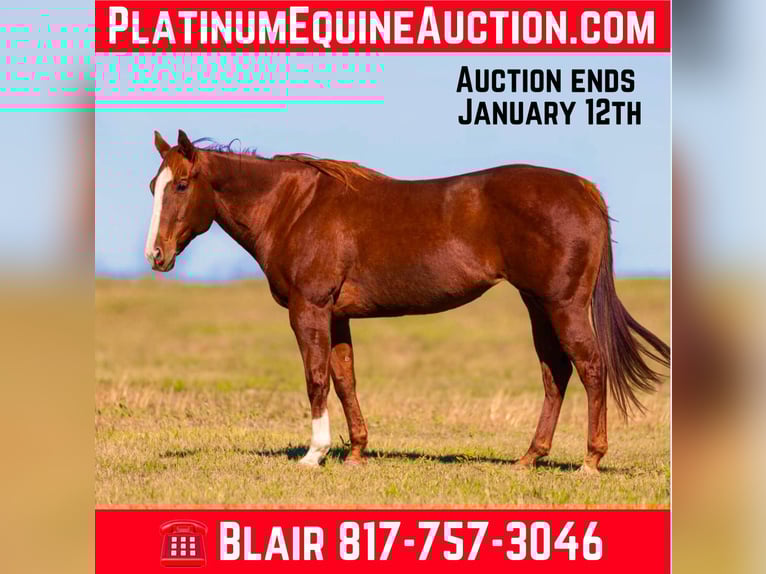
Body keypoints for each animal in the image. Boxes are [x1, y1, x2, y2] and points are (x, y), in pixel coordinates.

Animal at [145, 129, 670, 473]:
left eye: (182, 185)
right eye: (153, 186)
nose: (156, 255)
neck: (294, 208)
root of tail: (584, 189)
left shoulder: (309, 309)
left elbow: (316, 378)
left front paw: (314, 453)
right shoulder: (336, 316)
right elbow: (344, 378)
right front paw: (356, 451)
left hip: (562, 304)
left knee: (590, 367)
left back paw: (591, 460)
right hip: (537, 303)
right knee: (555, 372)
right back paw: (529, 457)